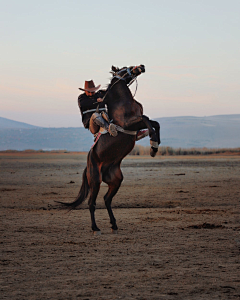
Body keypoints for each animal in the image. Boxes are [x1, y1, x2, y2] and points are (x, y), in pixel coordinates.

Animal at [59, 65, 160, 234]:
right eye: (125, 67)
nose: (141, 66)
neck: (123, 101)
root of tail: (88, 165)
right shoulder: (130, 124)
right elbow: (147, 119)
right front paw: (152, 141)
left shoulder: (136, 124)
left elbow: (155, 123)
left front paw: (154, 146)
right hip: (95, 181)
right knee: (92, 203)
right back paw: (95, 228)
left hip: (116, 180)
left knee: (107, 199)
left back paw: (114, 224)